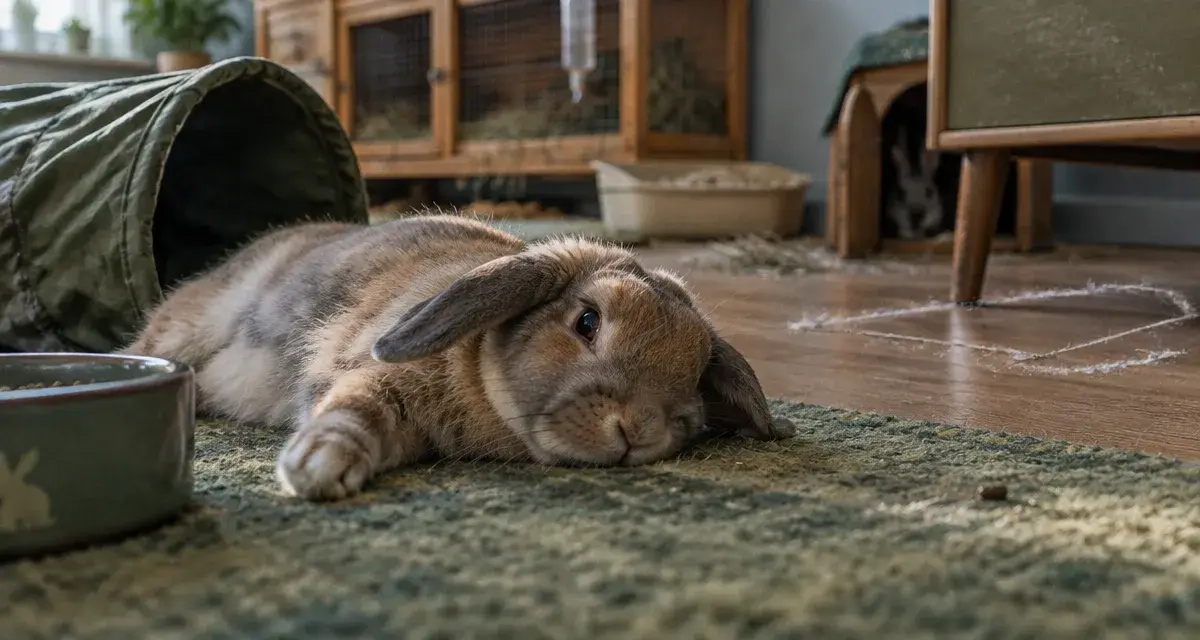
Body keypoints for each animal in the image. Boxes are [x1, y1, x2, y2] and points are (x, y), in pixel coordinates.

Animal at [120, 215, 796, 501]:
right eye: (587, 321)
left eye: (696, 373)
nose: (637, 431)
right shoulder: (373, 381)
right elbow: (352, 412)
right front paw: (316, 468)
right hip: (186, 329)